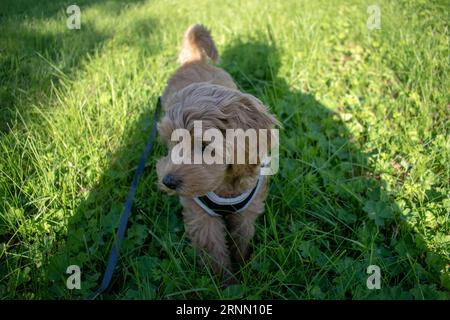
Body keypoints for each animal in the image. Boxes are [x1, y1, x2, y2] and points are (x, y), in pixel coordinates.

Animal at [156, 23, 280, 282]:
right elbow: (214, 251)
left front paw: (242, 266)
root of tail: (194, 60)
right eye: (170, 144)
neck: (225, 184)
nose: (167, 181)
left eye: (205, 146)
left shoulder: (247, 210)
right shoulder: (201, 216)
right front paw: (226, 282)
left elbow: (242, 237)